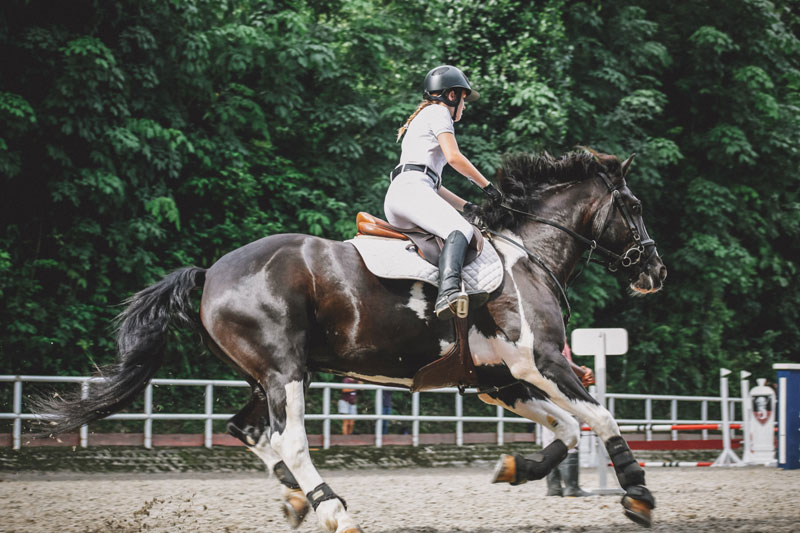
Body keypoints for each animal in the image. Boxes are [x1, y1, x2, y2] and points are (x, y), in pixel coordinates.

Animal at [35, 149, 667, 532]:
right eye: (633, 206)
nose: (655, 272)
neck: (528, 255)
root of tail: (210, 272)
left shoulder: (504, 381)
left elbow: (567, 430)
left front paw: (514, 469)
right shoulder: (540, 362)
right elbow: (601, 418)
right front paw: (637, 493)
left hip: (267, 376)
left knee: (247, 430)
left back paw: (299, 499)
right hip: (286, 371)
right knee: (288, 440)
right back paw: (332, 509)